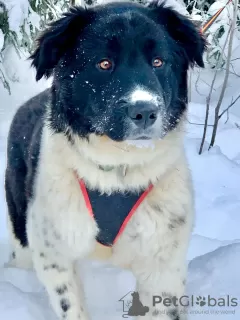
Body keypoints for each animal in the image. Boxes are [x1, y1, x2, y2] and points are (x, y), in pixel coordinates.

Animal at [4, 1, 205, 318]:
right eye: (104, 64)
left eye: (158, 62)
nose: (145, 111)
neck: (117, 172)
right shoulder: (54, 255)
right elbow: (71, 306)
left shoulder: (163, 263)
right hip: (20, 220)